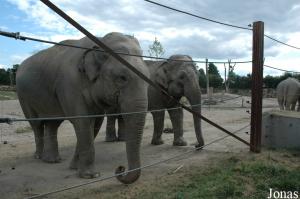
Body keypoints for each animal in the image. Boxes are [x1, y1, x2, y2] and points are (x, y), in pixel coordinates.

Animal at [15, 32, 149, 183]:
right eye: (122, 77)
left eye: (148, 77)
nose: (120, 169)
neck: (100, 41)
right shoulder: (69, 84)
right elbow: (82, 121)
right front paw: (90, 175)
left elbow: (94, 123)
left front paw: (74, 167)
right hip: (23, 96)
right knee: (36, 124)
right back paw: (38, 156)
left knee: (53, 123)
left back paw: (52, 160)